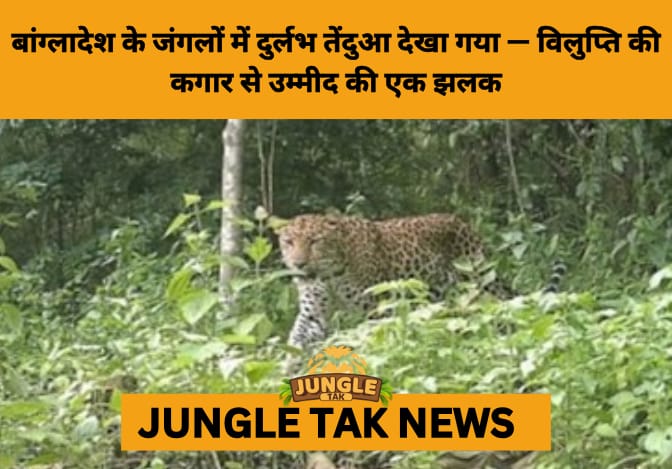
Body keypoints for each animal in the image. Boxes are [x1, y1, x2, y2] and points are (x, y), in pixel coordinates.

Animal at [277, 212, 565, 355]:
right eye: (288, 242)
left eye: (314, 241)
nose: (298, 264)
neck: (329, 274)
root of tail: (464, 223)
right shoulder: (312, 312)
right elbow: (296, 337)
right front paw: (287, 370)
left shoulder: (376, 307)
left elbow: (371, 337)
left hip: (478, 280)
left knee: (501, 305)